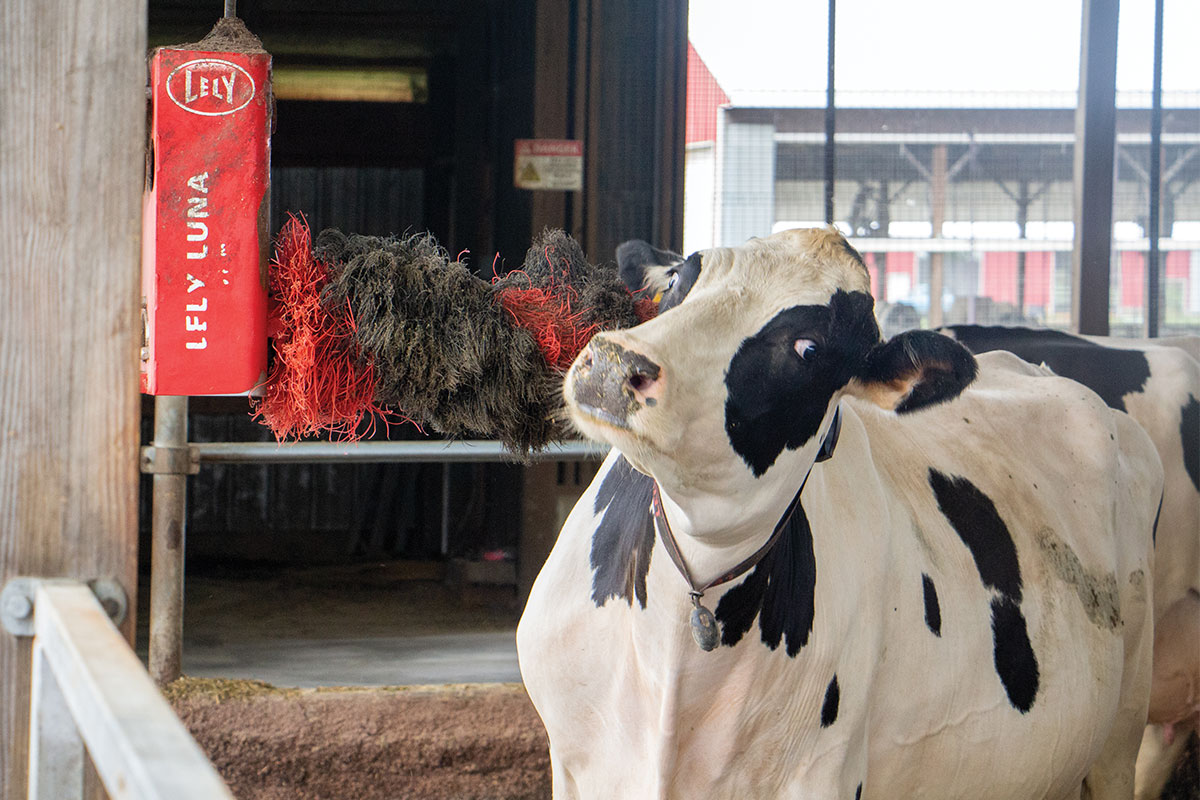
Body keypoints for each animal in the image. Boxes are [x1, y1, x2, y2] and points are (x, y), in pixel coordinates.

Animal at [516, 227, 1161, 796]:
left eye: (808, 348)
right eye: (679, 279)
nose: (612, 364)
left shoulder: (822, 772)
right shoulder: (575, 764)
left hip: (1123, 727)